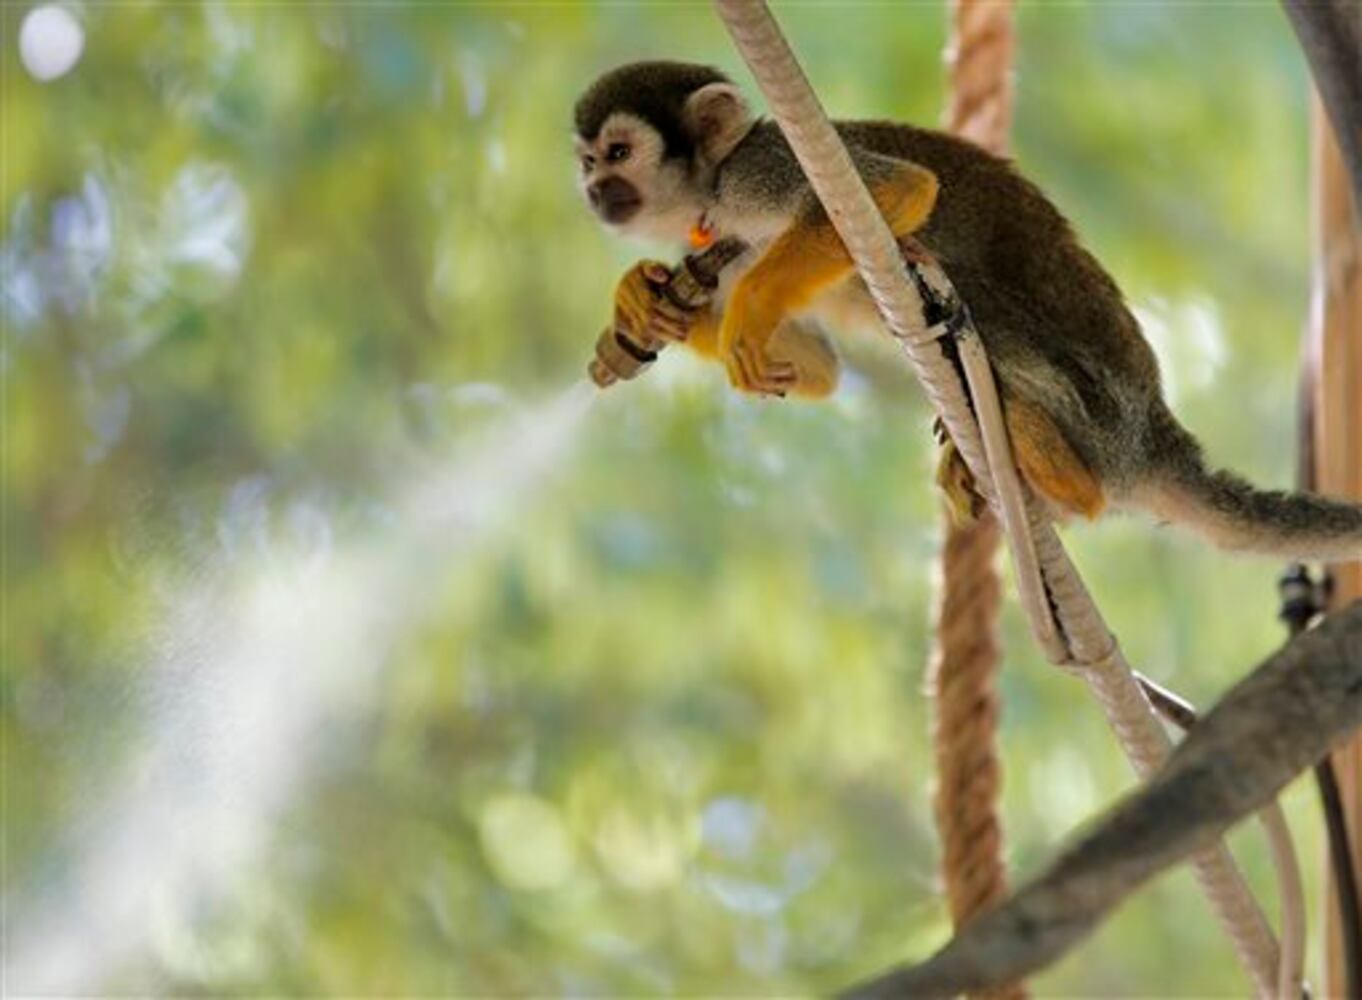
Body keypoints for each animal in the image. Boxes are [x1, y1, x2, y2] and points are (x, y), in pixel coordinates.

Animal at [574, 60, 1362, 564]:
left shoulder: (761, 169)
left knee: (960, 296)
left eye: (619, 151)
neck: (711, 195)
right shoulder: (725, 244)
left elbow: (900, 188)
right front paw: (645, 308)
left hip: (1101, 418)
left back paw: (1059, 475)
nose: (594, 191)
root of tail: (1157, 443)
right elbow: (814, 367)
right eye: (587, 160)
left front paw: (747, 311)